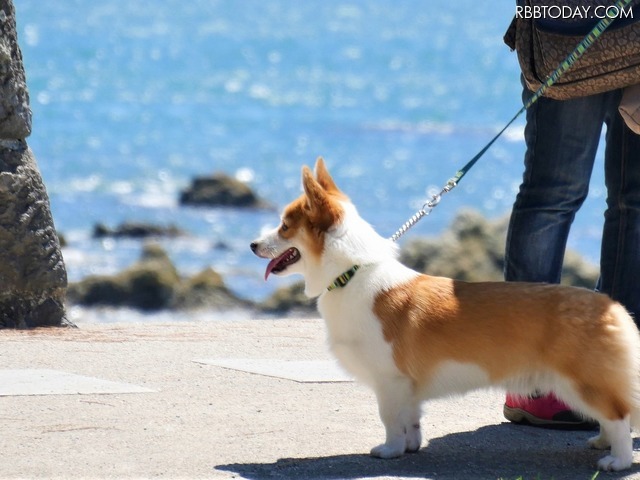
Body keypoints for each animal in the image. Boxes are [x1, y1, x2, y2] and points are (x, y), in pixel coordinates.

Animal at [250, 158, 640, 472]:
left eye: (284, 226)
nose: (252, 245)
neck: (352, 272)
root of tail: (615, 308)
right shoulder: (407, 387)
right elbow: (411, 420)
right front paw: (410, 447)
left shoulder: (389, 380)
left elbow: (389, 419)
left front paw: (389, 451)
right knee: (613, 416)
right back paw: (601, 443)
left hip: (581, 382)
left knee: (619, 416)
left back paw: (617, 460)